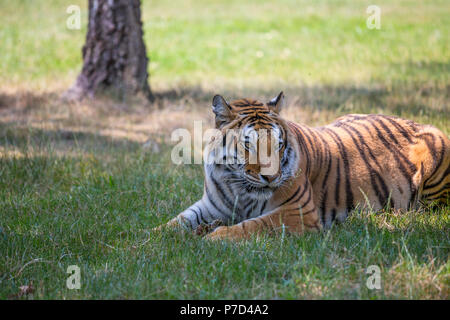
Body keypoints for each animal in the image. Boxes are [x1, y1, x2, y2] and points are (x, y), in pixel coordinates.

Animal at [156, 91, 450, 239]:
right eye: (249, 145)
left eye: (278, 145)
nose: (271, 178)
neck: (236, 185)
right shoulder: (210, 205)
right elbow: (176, 222)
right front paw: (150, 239)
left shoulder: (297, 212)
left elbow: (253, 225)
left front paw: (214, 237)